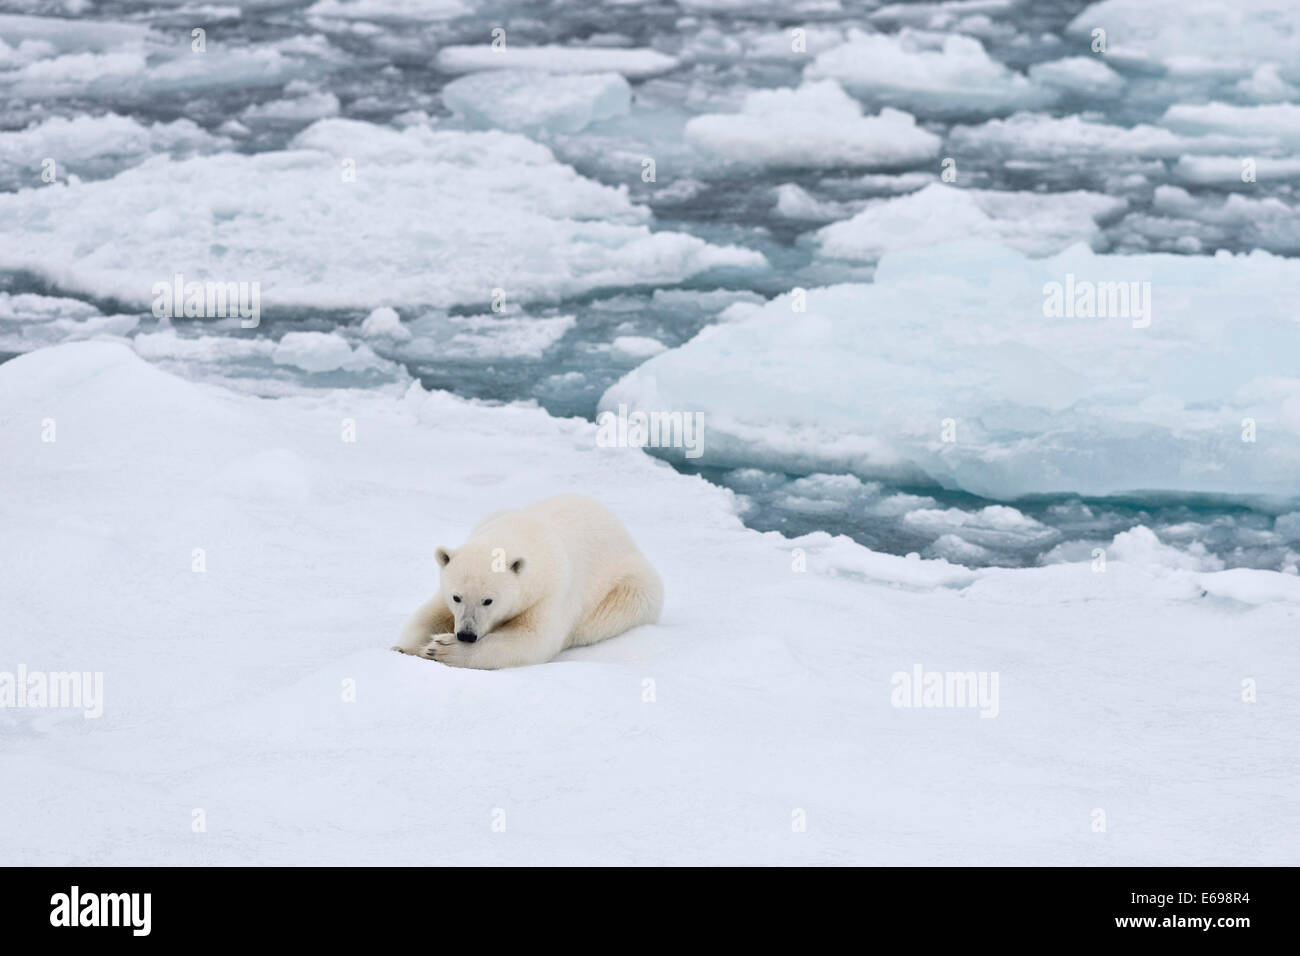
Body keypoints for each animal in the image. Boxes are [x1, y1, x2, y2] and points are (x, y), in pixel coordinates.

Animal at [390, 496, 660, 671]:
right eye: (457, 597)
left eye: (488, 601)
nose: (466, 634)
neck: (526, 532)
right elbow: (430, 613)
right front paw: (404, 648)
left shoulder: (550, 592)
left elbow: (532, 640)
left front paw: (441, 649)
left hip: (632, 585)